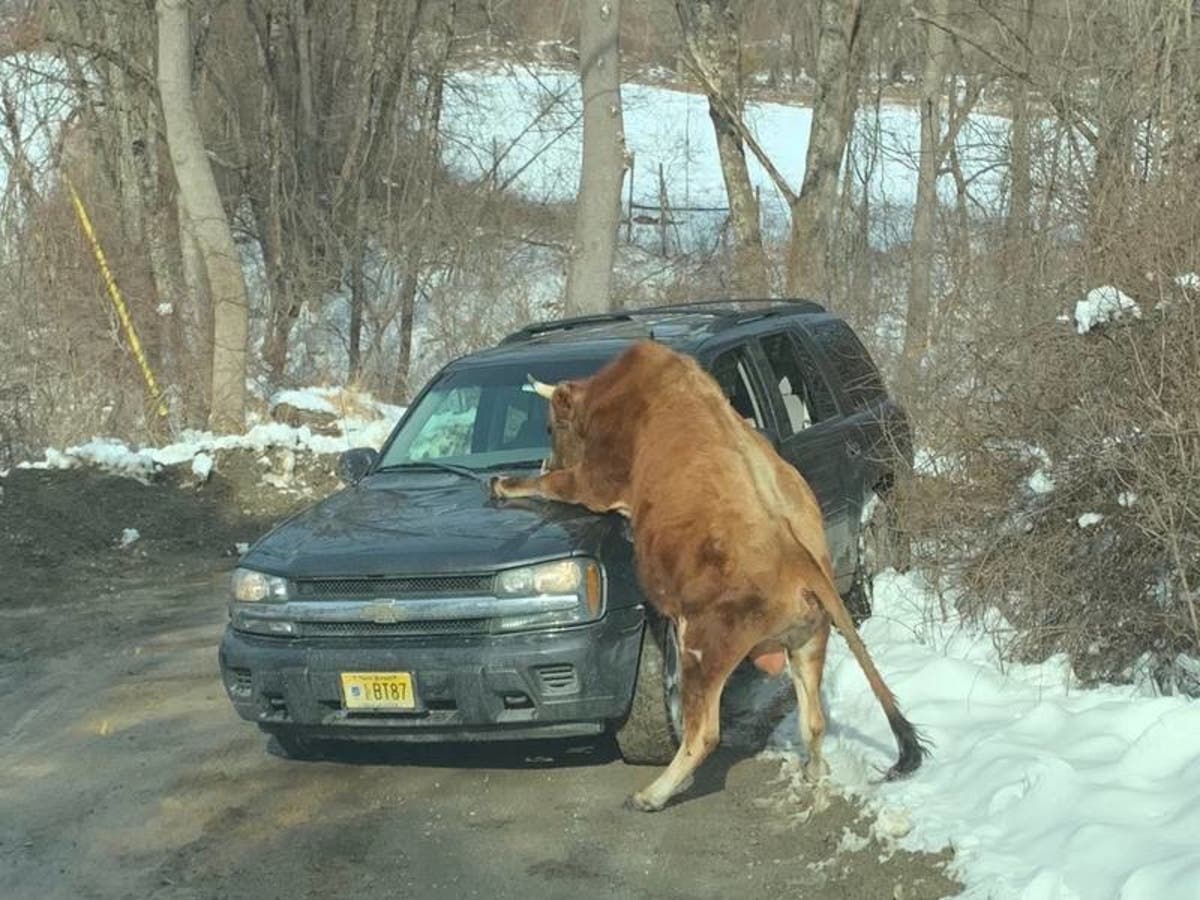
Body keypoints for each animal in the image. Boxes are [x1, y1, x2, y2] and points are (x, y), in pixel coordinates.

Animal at [490, 340, 928, 811]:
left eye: (551, 426)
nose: (544, 458)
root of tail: (797, 556)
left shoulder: (596, 480)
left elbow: (556, 485)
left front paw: (505, 482)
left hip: (703, 645)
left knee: (704, 733)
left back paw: (652, 795)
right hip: (808, 640)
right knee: (813, 719)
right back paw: (812, 772)